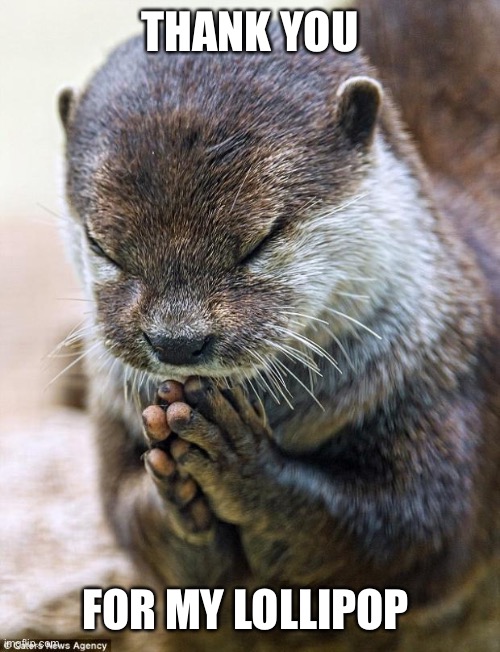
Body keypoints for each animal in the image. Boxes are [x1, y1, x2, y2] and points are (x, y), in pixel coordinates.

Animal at [58, 1, 500, 649]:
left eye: (260, 241)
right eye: (103, 246)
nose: (176, 341)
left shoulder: (450, 375)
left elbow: (416, 531)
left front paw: (242, 465)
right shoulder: (112, 413)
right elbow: (130, 518)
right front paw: (174, 497)